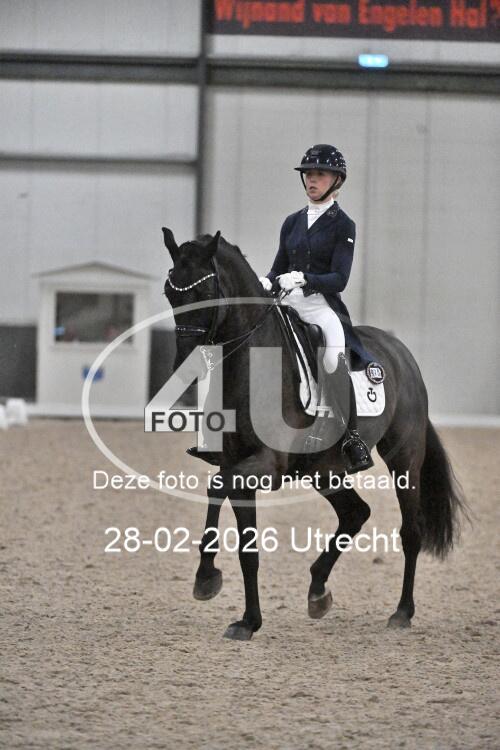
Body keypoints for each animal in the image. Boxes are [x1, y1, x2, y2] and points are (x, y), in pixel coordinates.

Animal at [161, 227, 467, 641]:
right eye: (169, 293)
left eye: (206, 291)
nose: (184, 367)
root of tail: (401, 354)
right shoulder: (238, 466)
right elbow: (245, 547)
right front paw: (241, 613)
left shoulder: (265, 465)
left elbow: (218, 490)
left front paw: (213, 585)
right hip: (323, 471)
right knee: (356, 512)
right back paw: (318, 590)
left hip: (404, 460)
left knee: (410, 532)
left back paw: (402, 612)